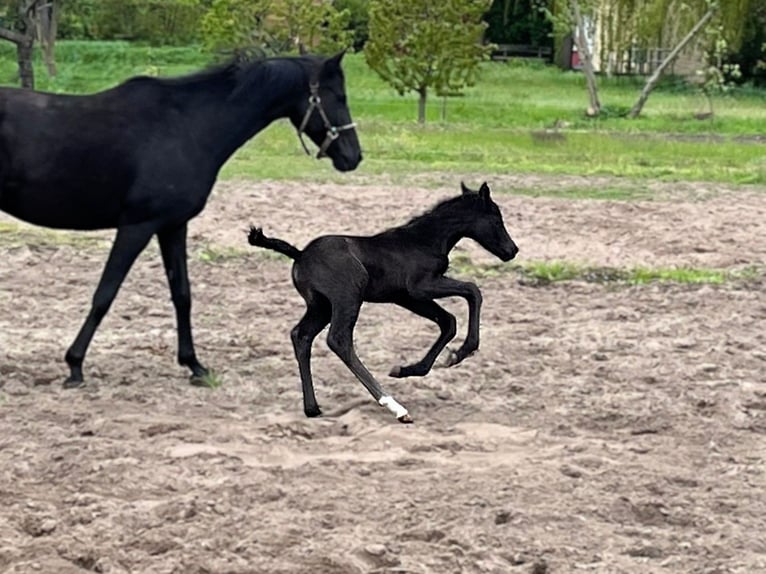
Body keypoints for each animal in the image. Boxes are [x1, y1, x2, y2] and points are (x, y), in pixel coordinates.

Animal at [249, 182, 520, 426]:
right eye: (497, 219)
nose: (512, 250)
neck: (423, 241)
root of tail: (300, 254)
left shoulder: (407, 297)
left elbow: (448, 322)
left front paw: (410, 368)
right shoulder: (421, 287)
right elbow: (473, 291)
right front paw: (463, 351)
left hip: (321, 307)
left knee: (301, 336)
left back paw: (312, 408)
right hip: (348, 298)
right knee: (339, 340)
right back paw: (395, 407)